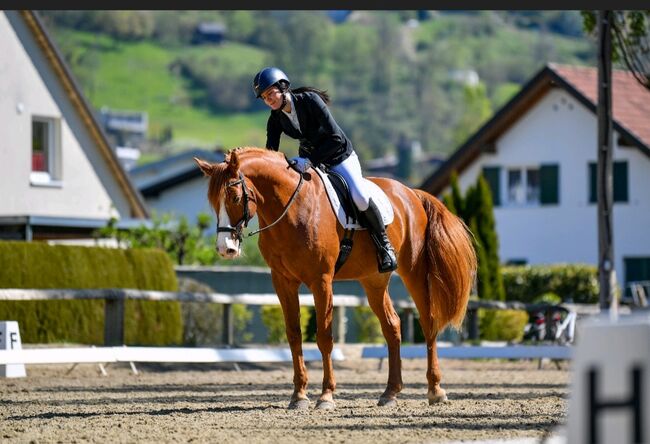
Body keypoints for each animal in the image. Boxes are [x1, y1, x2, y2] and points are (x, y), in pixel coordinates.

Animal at [192, 148, 476, 410]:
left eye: (235, 197)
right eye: (212, 202)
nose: (225, 249)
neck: (290, 208)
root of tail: (412, 193)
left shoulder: (321, 281)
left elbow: (325, 337)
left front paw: (326, 396)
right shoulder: (283, 282)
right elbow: (294, 335)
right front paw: (299, 396)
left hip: (414, 272)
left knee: (429, 323)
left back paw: (435, 390)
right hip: (374, 280)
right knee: (392, 326)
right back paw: (390, 393)